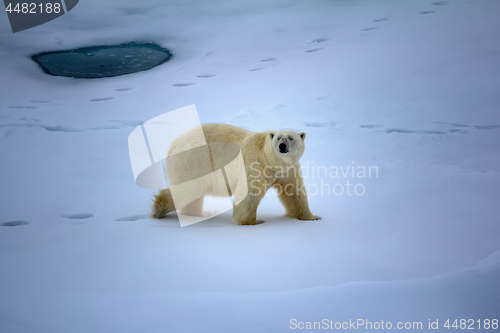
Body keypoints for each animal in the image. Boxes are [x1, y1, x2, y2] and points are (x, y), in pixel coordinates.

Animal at [150, 123, 320, 224]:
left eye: (291, 138)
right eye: (278, 138)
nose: (282, 146)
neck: (270, 160)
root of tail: (172, 145)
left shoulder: (288, 170)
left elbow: (295, 192)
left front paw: (312, 217)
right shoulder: (255, 164)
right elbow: (249, 193)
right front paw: (252, 222)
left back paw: (195, 215)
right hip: (193, 161)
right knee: (187, 189)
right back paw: (159, 209)